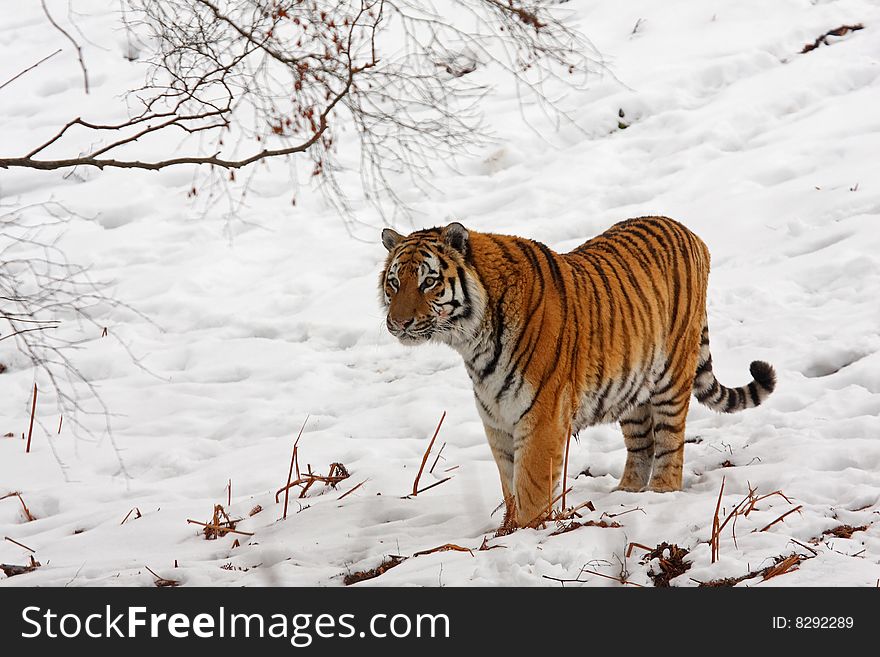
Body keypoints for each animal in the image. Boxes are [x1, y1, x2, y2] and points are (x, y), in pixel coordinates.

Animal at [378, 218, 776, 532]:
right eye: (394, 283)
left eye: (428, 282)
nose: (398, 323)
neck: (472, 341)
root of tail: (688, 230)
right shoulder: (497, 420)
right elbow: (510, 483)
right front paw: (506, 531)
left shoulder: (541, 417)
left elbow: (531, 487)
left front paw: (526, 533)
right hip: (632, 384)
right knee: (641, 443)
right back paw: (627, 492)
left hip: (672, 375)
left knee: (669, 442)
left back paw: (662, 490)